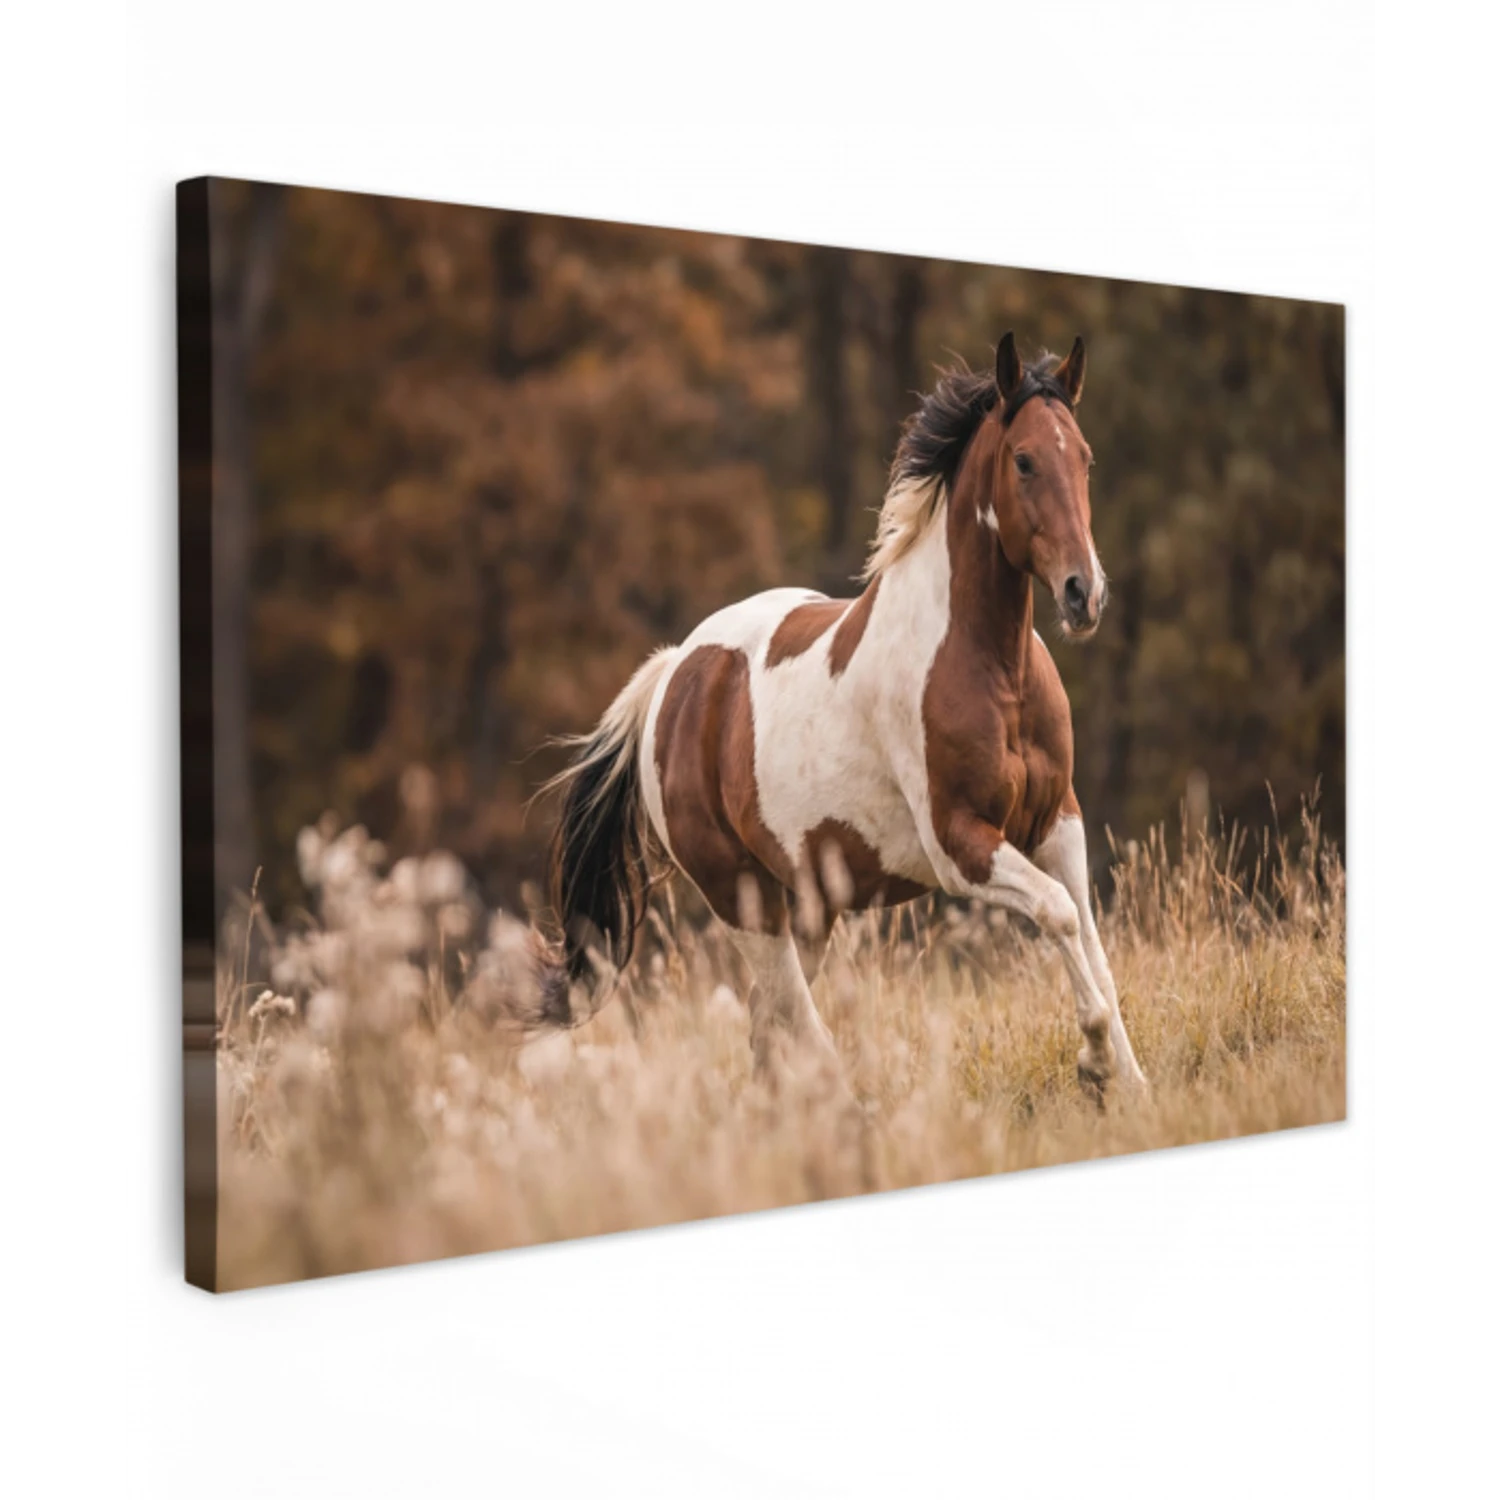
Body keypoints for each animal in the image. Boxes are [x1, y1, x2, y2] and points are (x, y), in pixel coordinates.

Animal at [523, 332, 1148, 1099]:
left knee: (768, 1027)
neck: (992, 669)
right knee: (794, 1023)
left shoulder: (1058, 820)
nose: (1083, 594)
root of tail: (673, 675)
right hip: (745, 900)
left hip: (811, 906)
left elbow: (1091, 940)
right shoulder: (961, 845)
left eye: (1084, 457)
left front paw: (1133, 1085)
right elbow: (1058, 913)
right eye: (1024, 460)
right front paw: (1093, 1060)